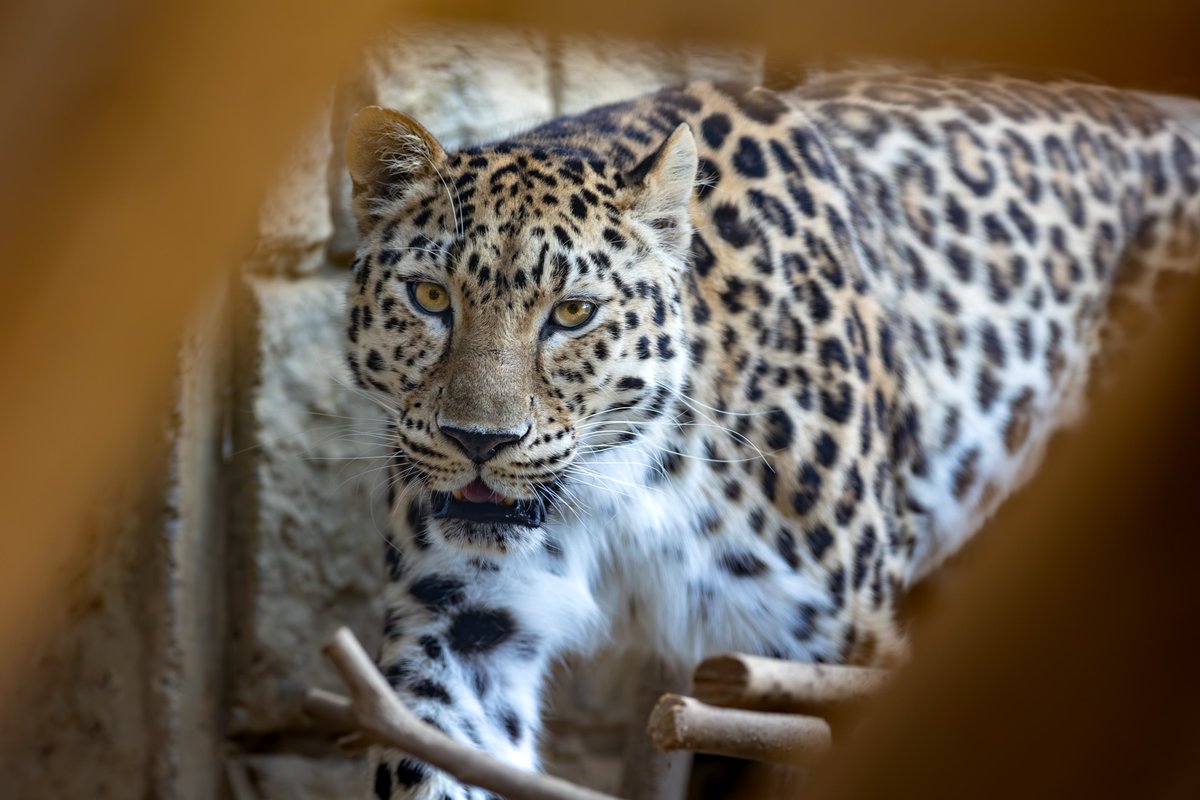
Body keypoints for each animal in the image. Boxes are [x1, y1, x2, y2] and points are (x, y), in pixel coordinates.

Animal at [338, 71, 1200, 796]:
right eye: (429, 297)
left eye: (573, 313)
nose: (479, 441)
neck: (628, 486)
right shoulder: (459, 628)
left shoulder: (838, 655)